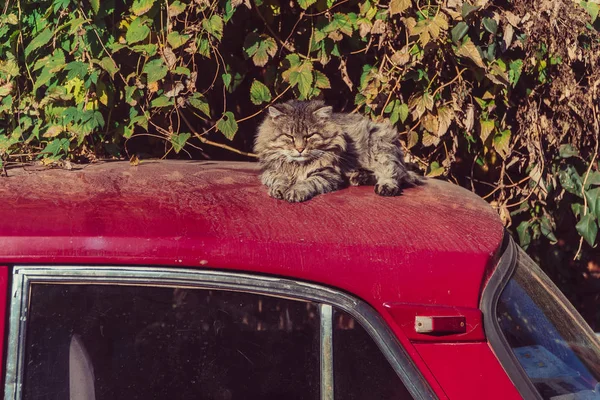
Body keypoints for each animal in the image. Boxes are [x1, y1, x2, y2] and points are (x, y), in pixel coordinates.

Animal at [252, 100, 418, 203]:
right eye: (289, 136)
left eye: (309, 136)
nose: (300, 149)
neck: (298, 166)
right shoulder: (271, 171)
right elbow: (280, 179)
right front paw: (280, 189)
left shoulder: (328, 174)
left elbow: (307, 182)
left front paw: (295, 191)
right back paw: (359, 177)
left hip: (380, 148)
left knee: (393, 173)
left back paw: (385, 187)